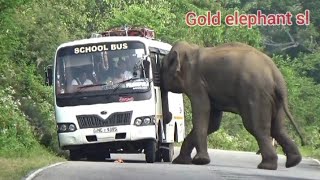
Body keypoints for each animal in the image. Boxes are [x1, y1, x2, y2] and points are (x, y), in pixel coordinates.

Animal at [160, 40, 304, 170]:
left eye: (162, 68)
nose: (169, 116)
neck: (191, 49)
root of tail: (276, 74)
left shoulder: (196, 83)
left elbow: (202, 111)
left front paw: (200, 161)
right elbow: (213, 123)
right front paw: (180, 162)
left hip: (255, 94)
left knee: (257, 127)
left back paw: (266, 166)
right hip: (274, 99)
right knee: (277, 128)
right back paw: (293, 162)